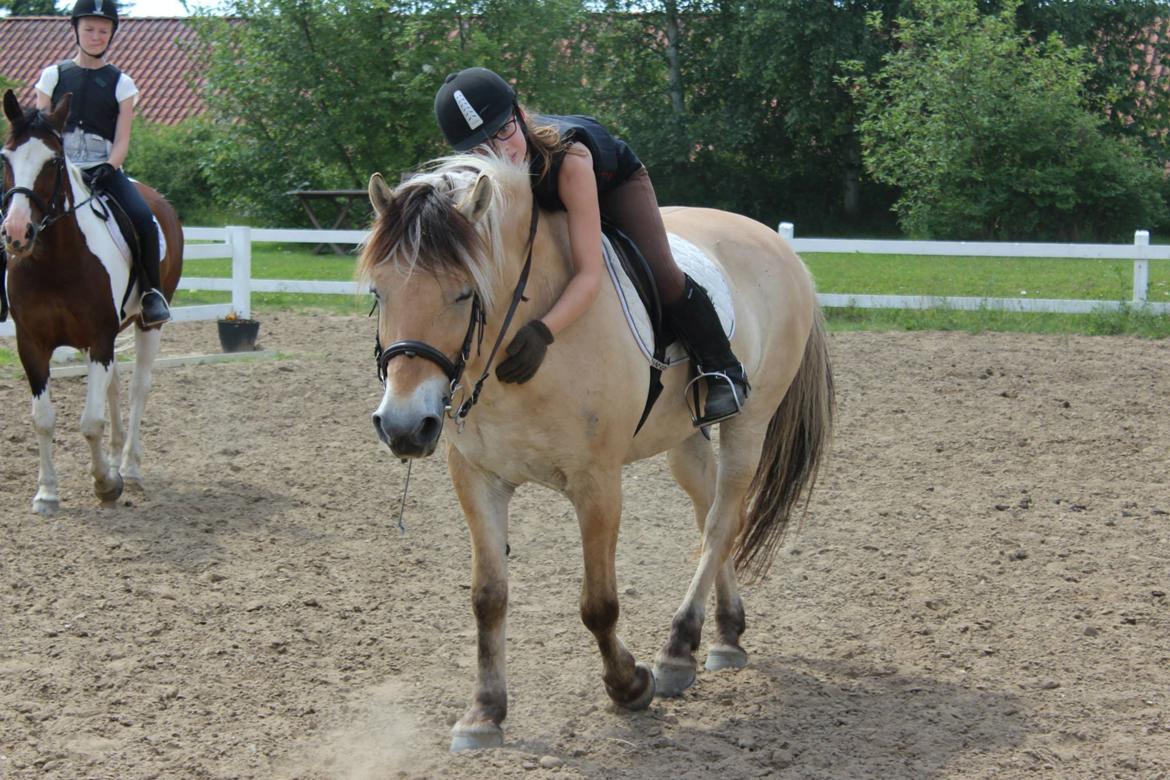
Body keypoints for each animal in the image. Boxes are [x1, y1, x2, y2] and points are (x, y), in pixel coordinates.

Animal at [1, 90, 181, 512]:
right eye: (5, 158)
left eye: (52, 161)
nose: (17, 233)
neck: (55, 262)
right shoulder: (32, 343)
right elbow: (43, 419)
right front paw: (47, 493)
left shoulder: (99, 339)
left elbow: (89, 421)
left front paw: (106, 484)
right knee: (115, 386)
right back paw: (116, 460)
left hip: (149, 324)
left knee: (137, 387)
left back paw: (128, 469)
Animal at [360, 154, 837, 757]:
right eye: (379, 293)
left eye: (465, 293)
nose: (403, 427)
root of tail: (778, 245)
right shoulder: (477, 478)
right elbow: (488, 597)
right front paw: (484, 714)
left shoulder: (597, 484)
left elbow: (598, 604)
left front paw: (629, 685)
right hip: (683, 437)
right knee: (709, 510)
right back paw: (725, 634)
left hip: (748, 424)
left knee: (723, 521)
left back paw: (677, 649)